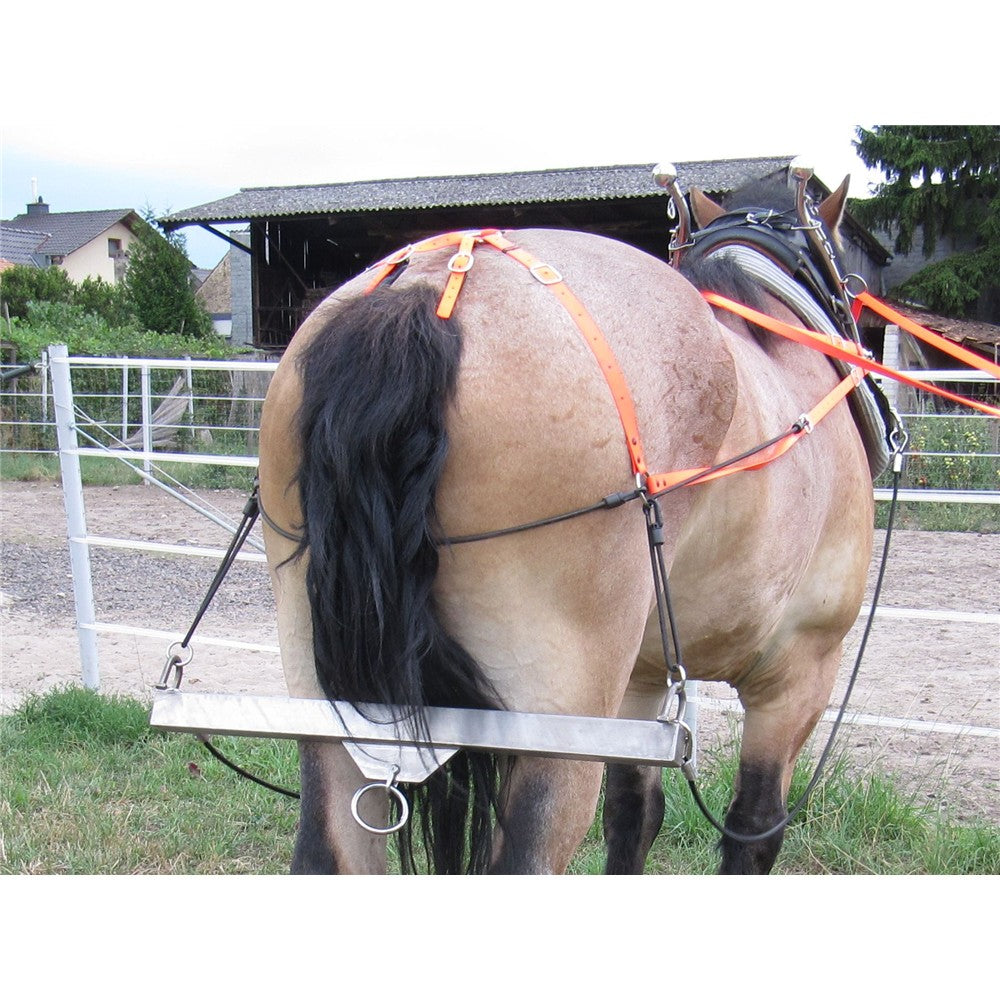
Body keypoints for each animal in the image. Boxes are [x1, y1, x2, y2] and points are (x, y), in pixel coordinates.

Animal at [257, 174, 877, 874]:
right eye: (843, 272)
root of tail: (431, 295)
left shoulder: (641, 682)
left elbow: (634, 813)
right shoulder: (799, 674)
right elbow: (755, 827)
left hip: (331, 712)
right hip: (554, 724)